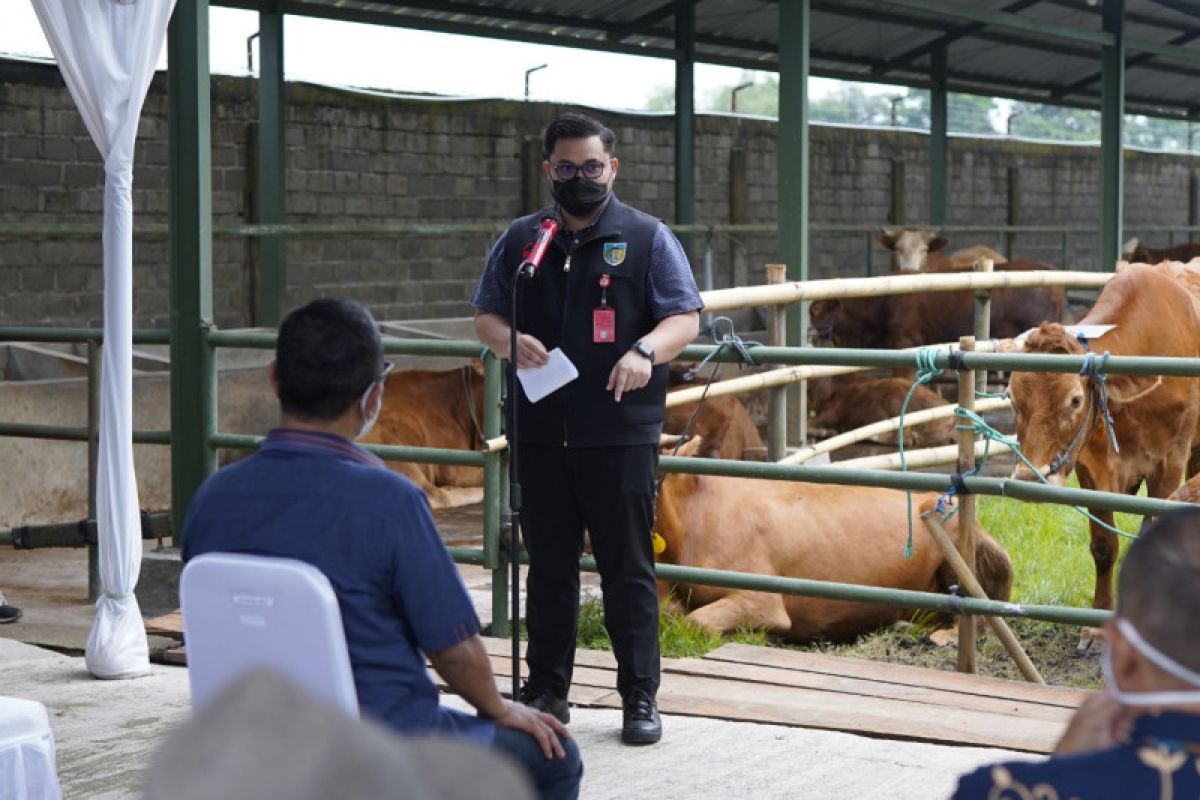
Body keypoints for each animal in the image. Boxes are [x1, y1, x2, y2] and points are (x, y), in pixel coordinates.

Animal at [1008, 266, 1200, 618]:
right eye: (1011, 398)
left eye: (1075, 400)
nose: (1029, 478)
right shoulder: (1090, 468)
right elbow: (1104, 546)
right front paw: (1097, 617)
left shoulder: (1170, 462)